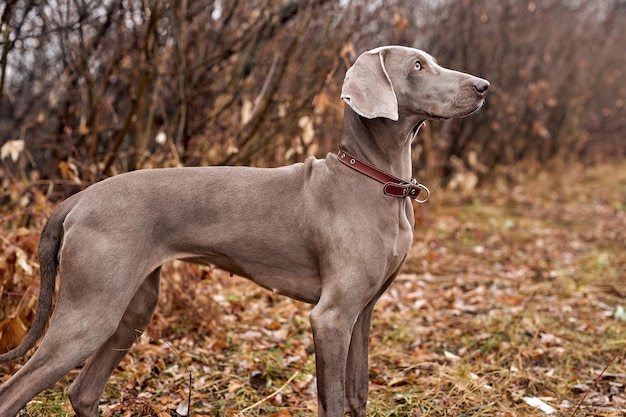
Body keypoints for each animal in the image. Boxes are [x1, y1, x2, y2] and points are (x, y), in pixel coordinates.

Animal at [0, 46, 488, 416]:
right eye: (418, 66)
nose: (483, 86)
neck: (374, 180)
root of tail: (78, 199)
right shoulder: (331, 317)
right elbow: (331, 401)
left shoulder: (362, 313)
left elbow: (356, 396)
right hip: (91, 310)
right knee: (14, 392)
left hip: (132, 308)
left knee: (82, 392)